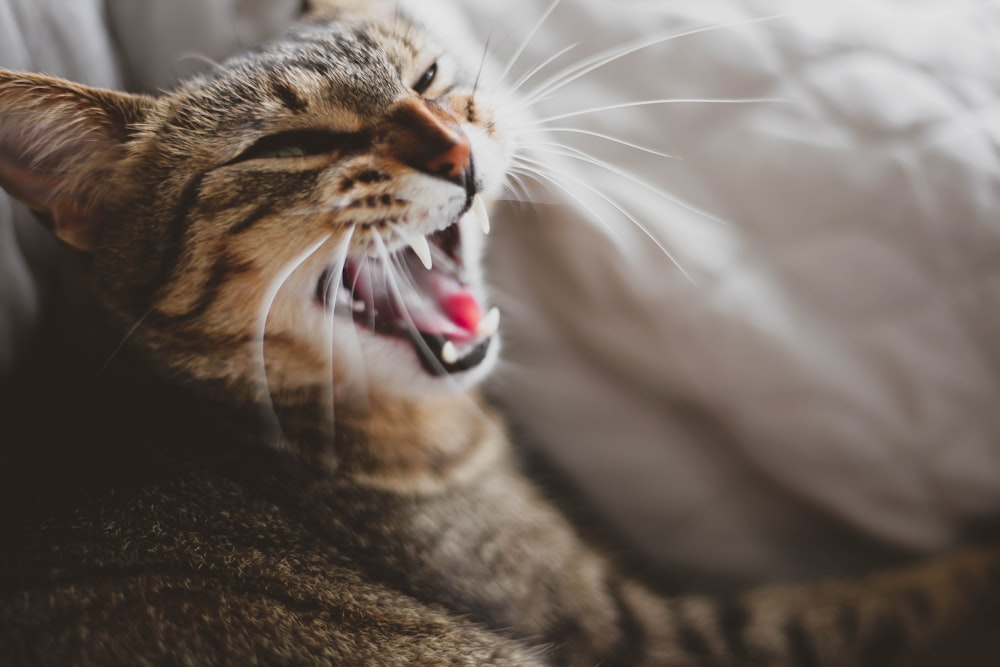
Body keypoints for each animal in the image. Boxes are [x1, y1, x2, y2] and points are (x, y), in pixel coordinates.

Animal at [1, 1, 1000, 667]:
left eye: (429, 80)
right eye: (288, 144)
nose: (454, 152)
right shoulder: (634, 629)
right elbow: (867, 608)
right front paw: (976, 561)